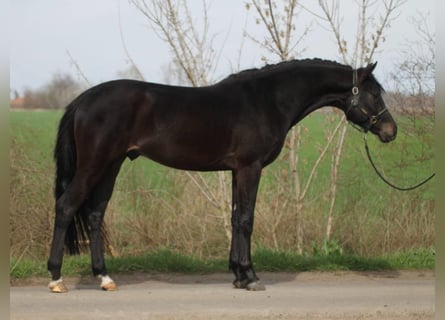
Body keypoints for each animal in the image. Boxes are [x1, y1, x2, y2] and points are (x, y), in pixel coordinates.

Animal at [47, 58, 396, 292]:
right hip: (94, 165)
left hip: (112, 165)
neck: (267, 99)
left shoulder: (236, 171)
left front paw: (238, 276)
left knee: (94, 214)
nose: (391, 131)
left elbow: (235, 218)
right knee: (66, 206)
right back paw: (56, 278)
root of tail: (82, 100)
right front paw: (251, 277)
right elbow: (247, 219)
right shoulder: (250, 168)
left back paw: (105, 277)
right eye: (373, 94)